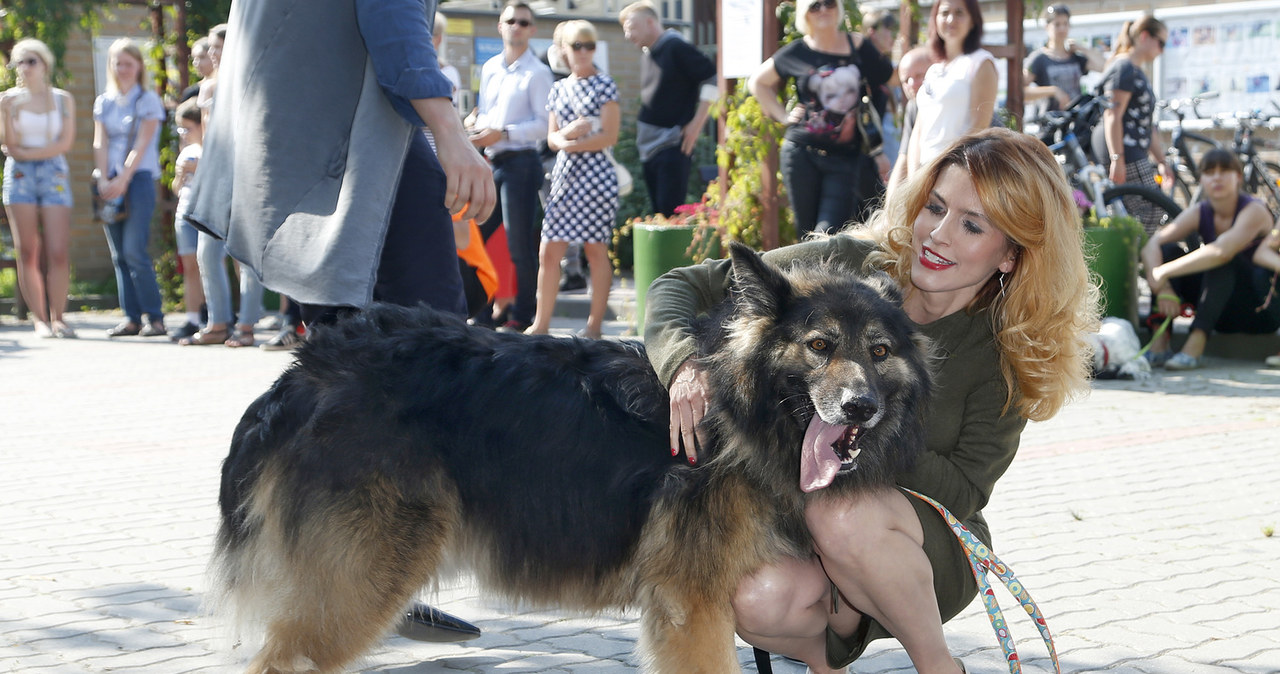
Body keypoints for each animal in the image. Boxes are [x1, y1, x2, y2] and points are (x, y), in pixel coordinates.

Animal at [212, 245, 931, 670]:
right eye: (819, 346)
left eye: (879, 352)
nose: (860, 408)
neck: (737, 409)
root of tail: (307, 370)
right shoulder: (693, 608)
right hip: (364, 579)